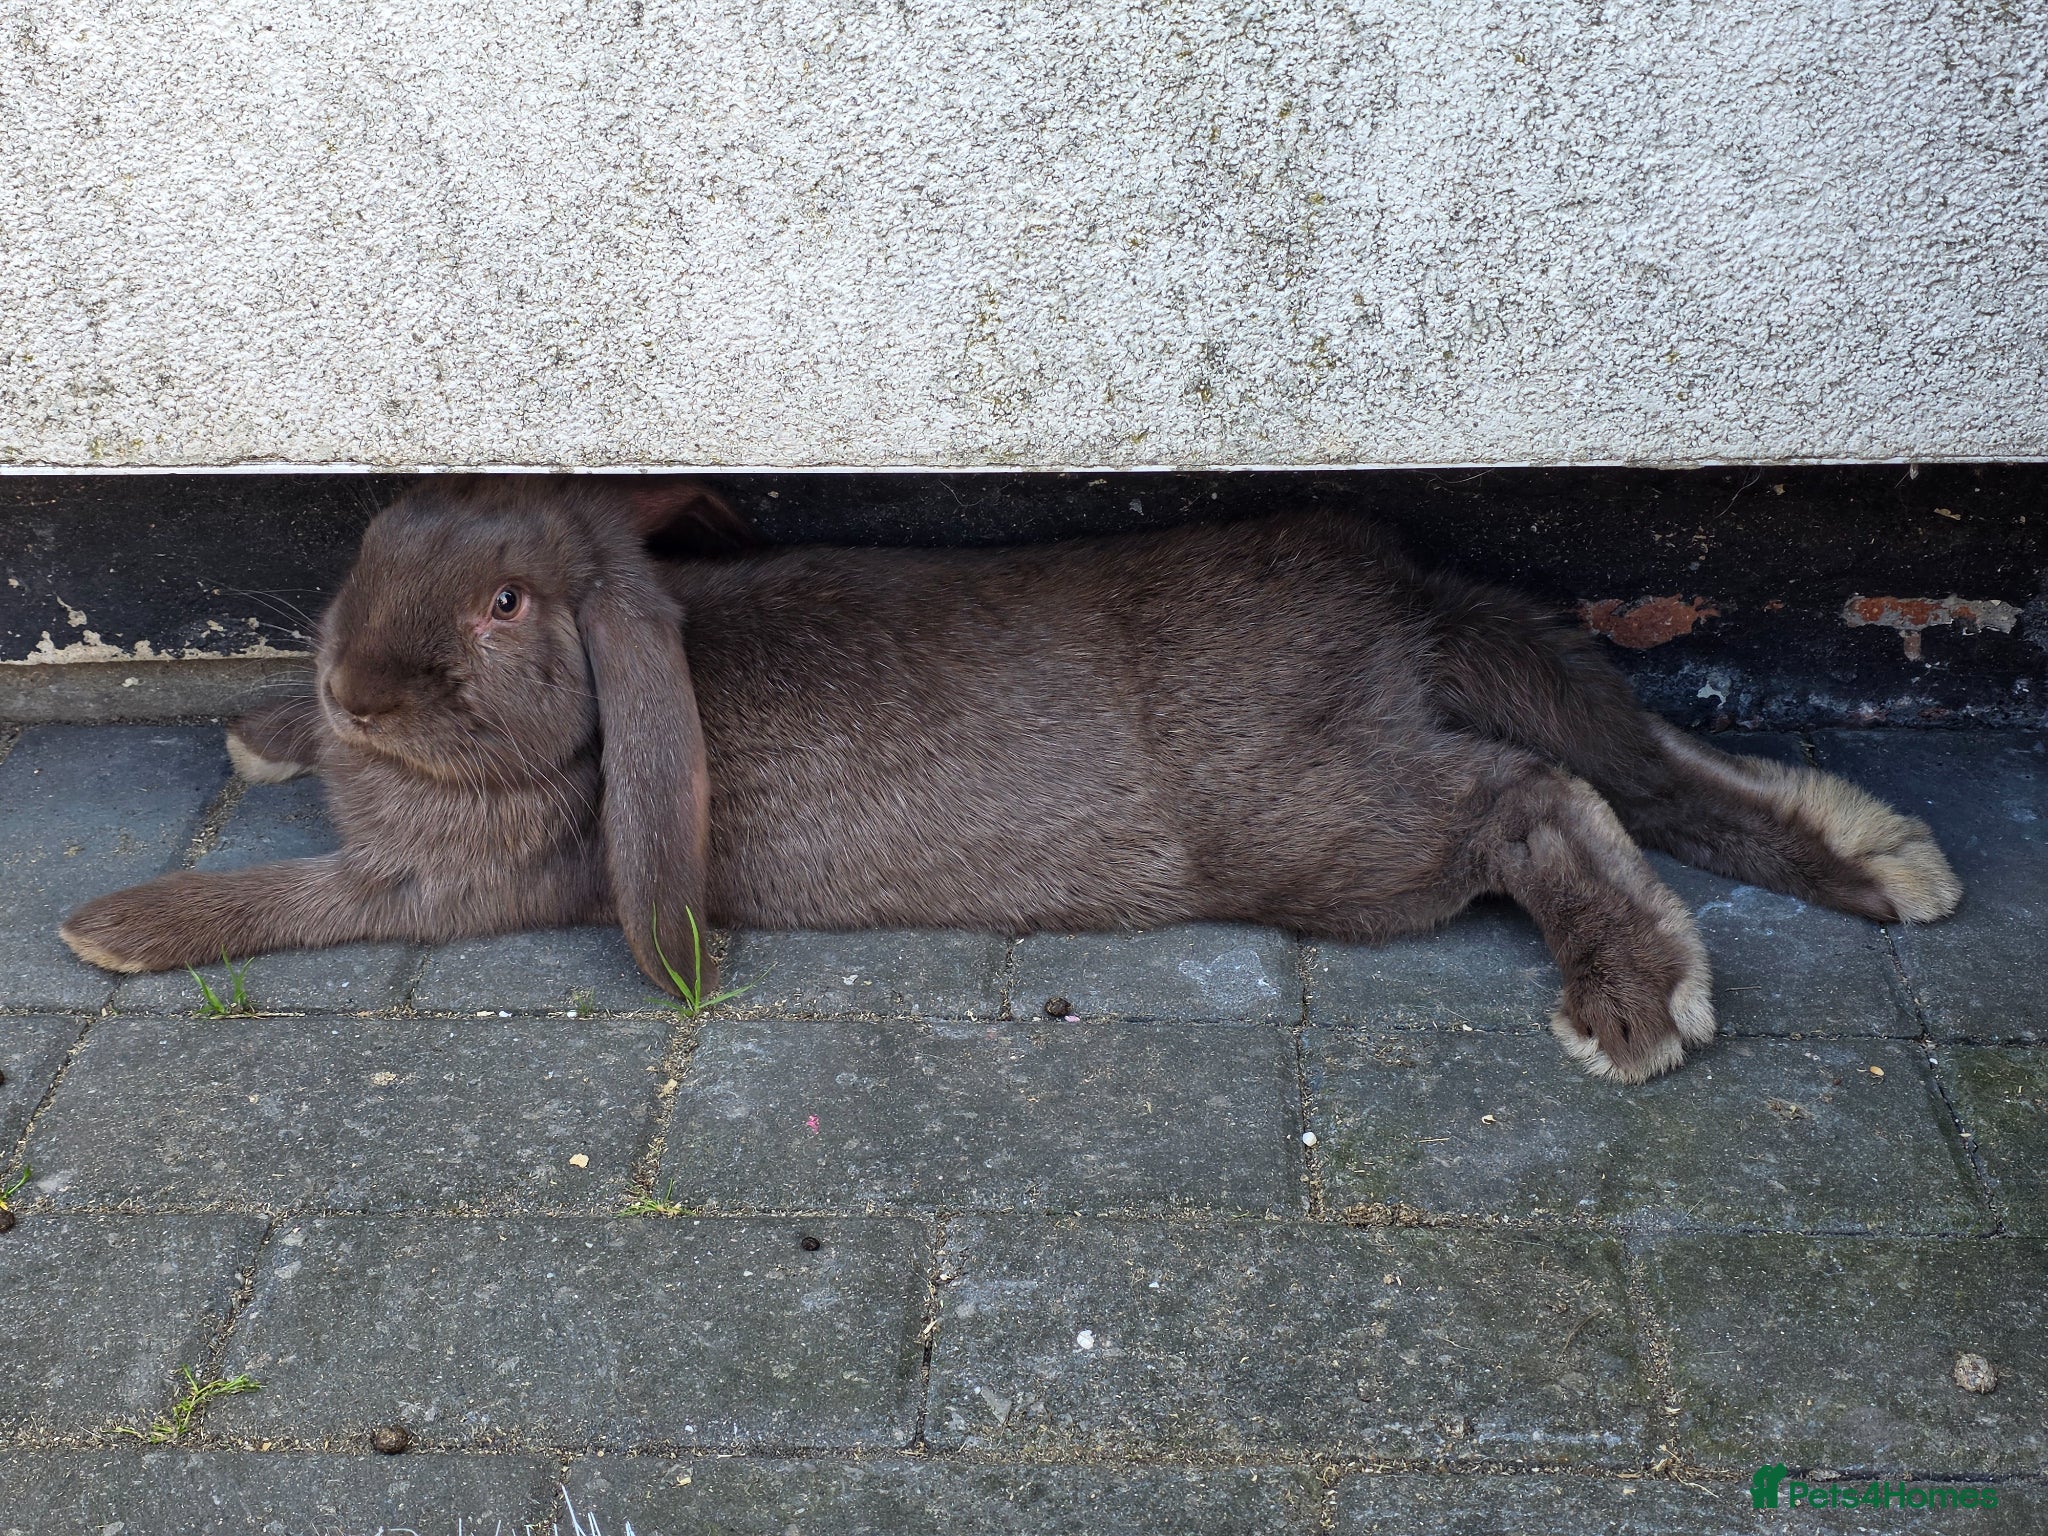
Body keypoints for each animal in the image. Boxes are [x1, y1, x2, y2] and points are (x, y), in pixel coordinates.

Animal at [60, 475, 1961, 1082]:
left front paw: (110, 926)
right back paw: (1883, 857)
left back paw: (1632, 1001)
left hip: (1336, 837)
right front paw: (257, 731)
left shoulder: (432, 889)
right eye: (376, 535)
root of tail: (1397, 608)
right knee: (1637, 750)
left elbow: (282, 897)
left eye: (507, 605)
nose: (347, 684)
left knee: (1538, 797)